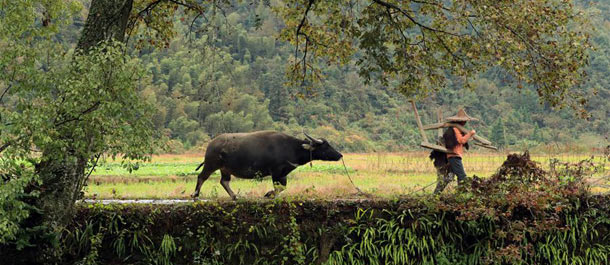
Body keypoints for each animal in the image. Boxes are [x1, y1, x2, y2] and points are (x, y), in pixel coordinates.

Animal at [190, 130, 342, 198]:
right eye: (325, 147)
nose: (340, 155)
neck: (292, 147)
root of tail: (211, 144)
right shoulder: (276, 171)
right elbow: (278, 187)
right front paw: (269, 194)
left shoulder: (283, 173)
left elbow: (282, 187)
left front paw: (270, 194)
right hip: (211, 164)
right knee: (201, 177)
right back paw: (195, 194)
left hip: (225, 169)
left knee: (224, 181)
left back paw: (234, 196)